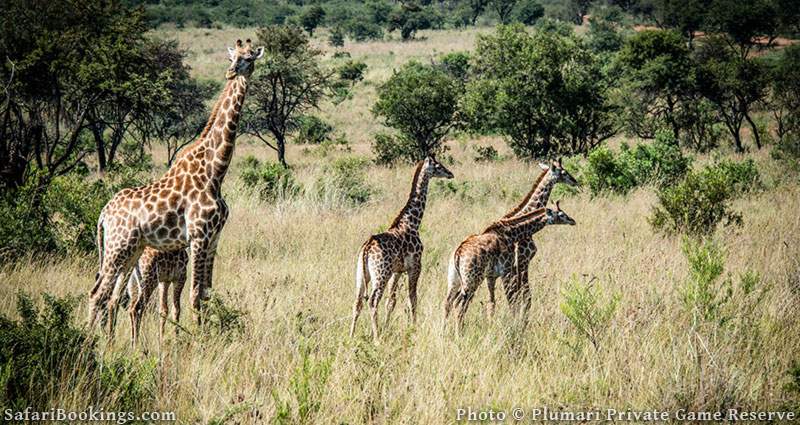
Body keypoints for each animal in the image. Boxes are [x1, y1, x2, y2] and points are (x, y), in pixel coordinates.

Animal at [90, 39, 266, 332]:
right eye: (233, 57)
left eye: (250, 58)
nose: (231, 72)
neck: (215, 171)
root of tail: (103, 214)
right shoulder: (198, 236)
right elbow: (194, 295)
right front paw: (197, 338)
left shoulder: (214, 238)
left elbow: (206, 292)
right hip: (118, 247)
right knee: (98, 294)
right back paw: (87, 341)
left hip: (132, 250)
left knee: (111, 296)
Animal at [346, 155, 454, 338]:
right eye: (438, 166)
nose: (450, 174)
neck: (412, 222)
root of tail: (366, 248)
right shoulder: (415, 266)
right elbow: (413, 299)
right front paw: (413, 328)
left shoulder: (396, 271)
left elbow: (392, 301)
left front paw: (387, 327)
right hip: (380, 274)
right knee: (373, 302)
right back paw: (376, 338)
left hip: (361, 275)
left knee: (357, 302)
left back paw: (351, 336)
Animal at [444, 202, 576, 332]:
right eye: (561, 214)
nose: (572, 221)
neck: (511, 233)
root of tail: (458, 253)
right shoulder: (506, 271)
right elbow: (512, 300)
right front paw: (514, 325)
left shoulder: (491, 276)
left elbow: (491, 303)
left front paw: (491, 327)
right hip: (472, 280)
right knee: (459, 304)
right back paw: (459, 333)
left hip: (454, 280)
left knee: (448, 302)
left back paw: (444, 331)